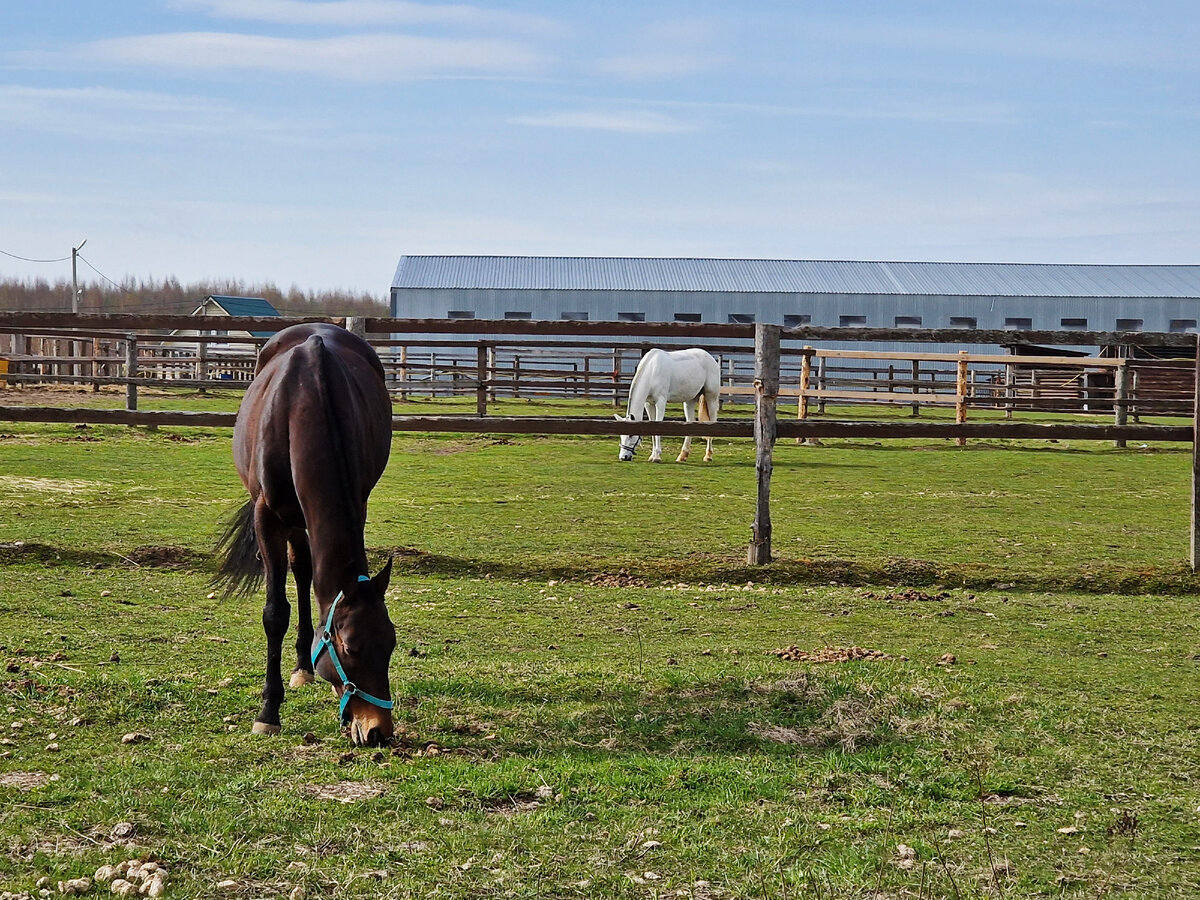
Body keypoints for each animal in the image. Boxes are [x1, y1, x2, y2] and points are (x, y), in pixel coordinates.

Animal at [216, 324, 398, 748]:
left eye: (391, 644)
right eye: (349, 647)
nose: (378, 731)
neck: (304, 402)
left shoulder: (357, 501)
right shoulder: (267, 516)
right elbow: (275, 613)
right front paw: (268, 712)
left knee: (303, 570)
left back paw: (303, 666)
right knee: (299, 571)